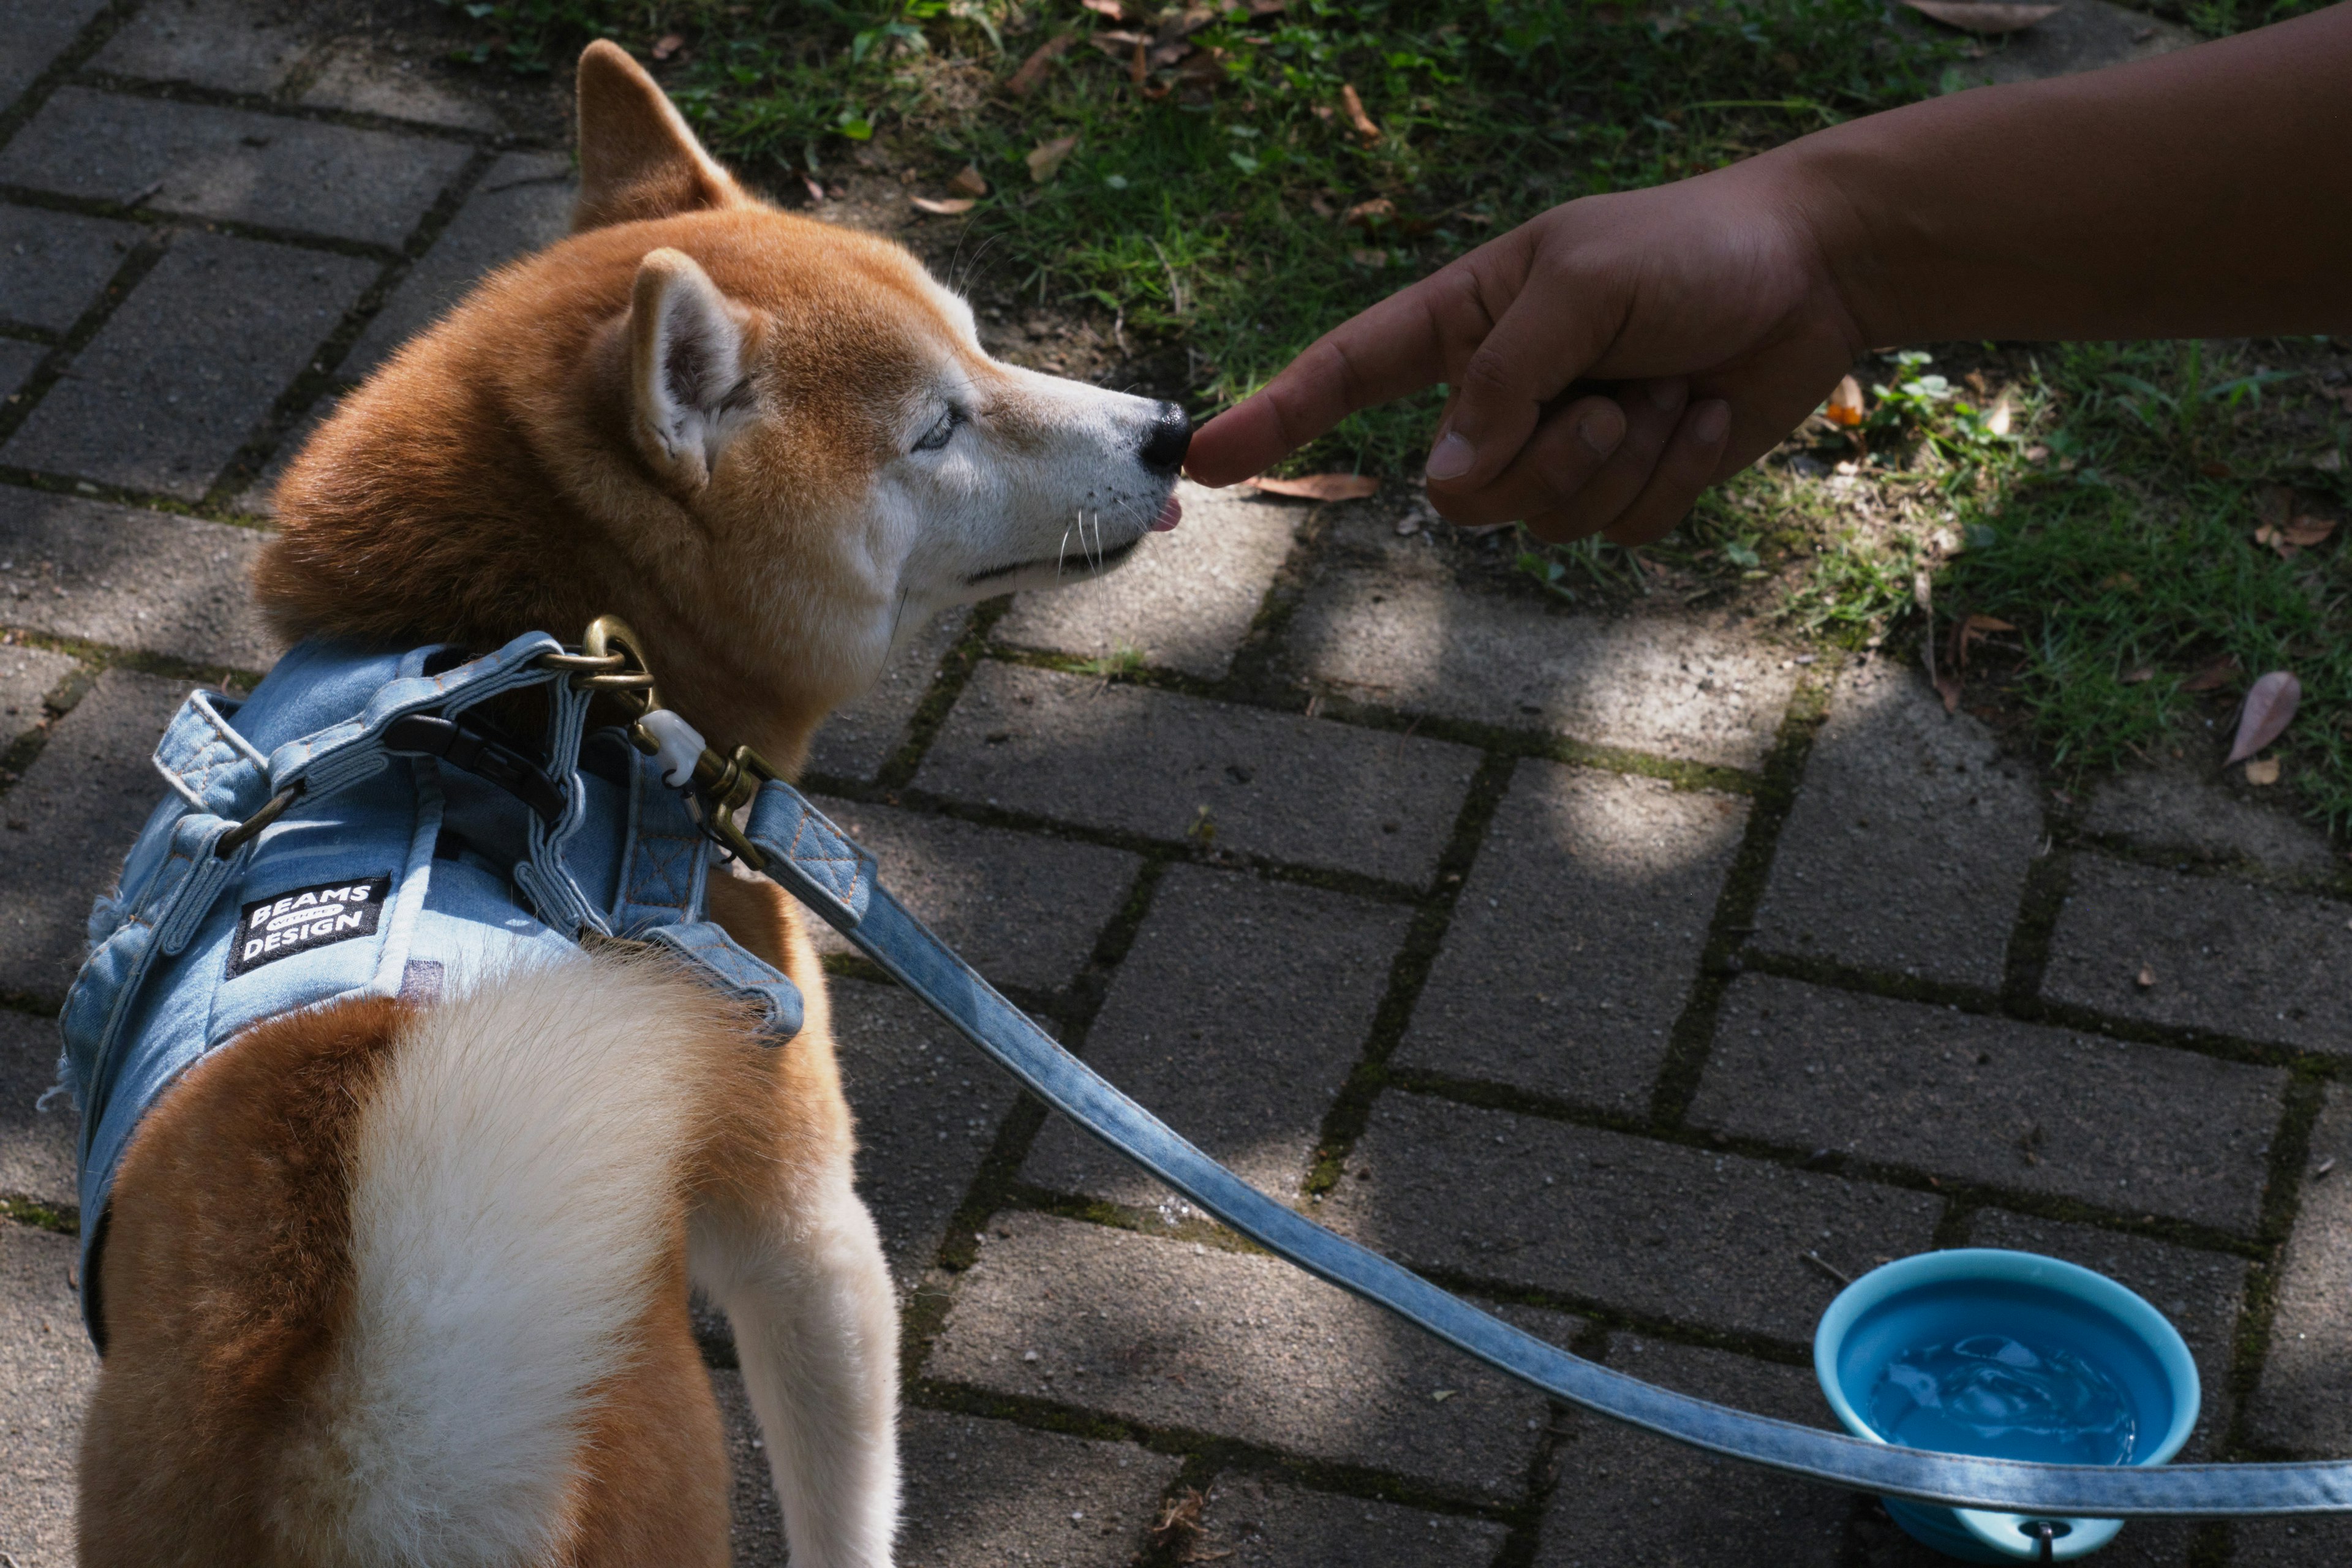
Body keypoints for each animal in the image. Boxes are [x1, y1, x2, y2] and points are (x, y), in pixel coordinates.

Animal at [80, 40, 1185, 1568]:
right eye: (938, 427)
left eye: (979, 343)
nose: (1174, 432)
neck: (529, 662)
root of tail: (363, 1457)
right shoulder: (804, 1224)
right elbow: (850, 1502)